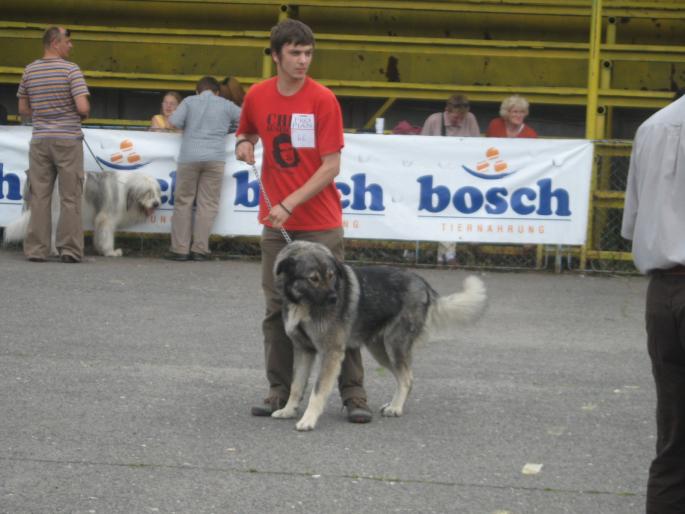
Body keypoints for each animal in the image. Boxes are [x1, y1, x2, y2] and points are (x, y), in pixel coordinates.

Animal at [4, 170, 162, 256]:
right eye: (148, 193)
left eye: (156, 192)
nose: (156, 204)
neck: (127, 189)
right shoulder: (107, 218)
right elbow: (107, 236)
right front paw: (110, 252)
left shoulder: (99, 219)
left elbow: (99, 235)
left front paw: (100, 249)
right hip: (56, 212)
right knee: (51, 233)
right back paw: (54, 251)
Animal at [272, 239, 486, 428]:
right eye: (313, 278)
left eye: (331, 276)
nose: (335, 298)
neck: (302, 305)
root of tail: (423, 284)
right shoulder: (303, 351)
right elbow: (296, 386)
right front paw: (288, 410)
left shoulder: (330, 353)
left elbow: (317, 391)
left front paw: (308, 420)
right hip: (381, 352)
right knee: (405, 377)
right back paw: (393, 404)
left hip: (394, 346)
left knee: (406, 378)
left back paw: (396, 408)